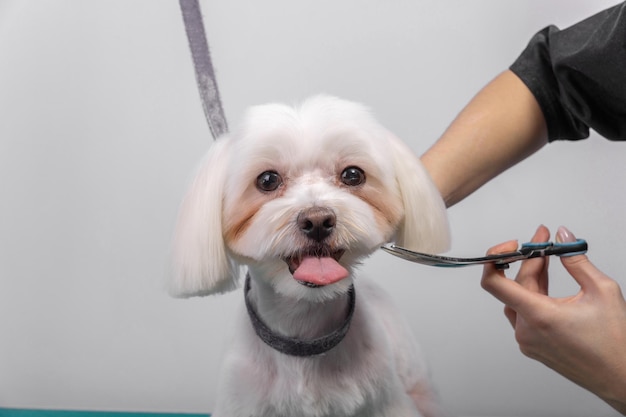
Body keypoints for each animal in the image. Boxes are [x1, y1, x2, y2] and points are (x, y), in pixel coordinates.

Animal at [169, 95, 448, 416]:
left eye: (353, 175)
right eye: (267, 180)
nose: (317, 220)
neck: (303, 335)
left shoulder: (385, 403)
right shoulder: (241, 403)